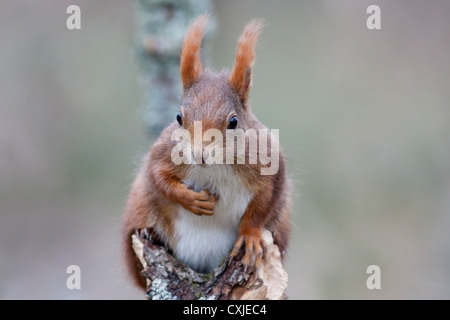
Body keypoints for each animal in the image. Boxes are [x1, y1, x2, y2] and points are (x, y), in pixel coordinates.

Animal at [122, 15, 292, 288]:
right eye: (178, 117)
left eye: (233, 122)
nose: (198, 154)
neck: (217, 166)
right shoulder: (165, 153)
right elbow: (157, 177)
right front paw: (191, 199)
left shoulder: (269, 166)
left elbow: (263, 204)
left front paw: (250, 235)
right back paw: (150, 233)